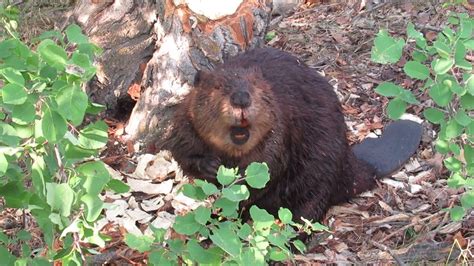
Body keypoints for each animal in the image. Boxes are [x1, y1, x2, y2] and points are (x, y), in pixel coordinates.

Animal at [159, 46, 422, 221]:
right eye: (217, 87)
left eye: (256, 86)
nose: (241, 98)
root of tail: (362, 168)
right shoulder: (184, 120)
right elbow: (181, 150)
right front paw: (210, 165)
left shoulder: (282, 125)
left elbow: (272, 164)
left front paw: (242, 176)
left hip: (319, 177)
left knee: (307, 212)